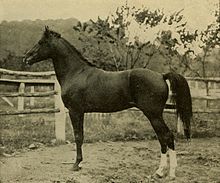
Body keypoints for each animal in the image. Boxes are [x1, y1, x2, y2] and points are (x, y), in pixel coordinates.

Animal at [23, 26, 192, 179]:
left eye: (41, 42)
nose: (26, 58)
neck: (75, 73)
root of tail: (161, 75)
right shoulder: (80, 112)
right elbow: (81, 136)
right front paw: (80, 163)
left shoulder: (74, 111)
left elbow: (78, 136)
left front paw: (76, 164)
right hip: (154, 116)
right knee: (162, 138)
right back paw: (161, 172)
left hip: (154, 115)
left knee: (167, 136)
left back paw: (168, 172)